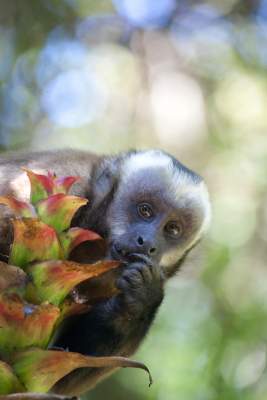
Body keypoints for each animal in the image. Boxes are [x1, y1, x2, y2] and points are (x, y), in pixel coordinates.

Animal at [0, 148, 211, 396]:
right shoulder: (37, 193)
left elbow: (62, 380)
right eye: (145, 211)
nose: (148, 243)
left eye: (172, 229)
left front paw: (144, 298)